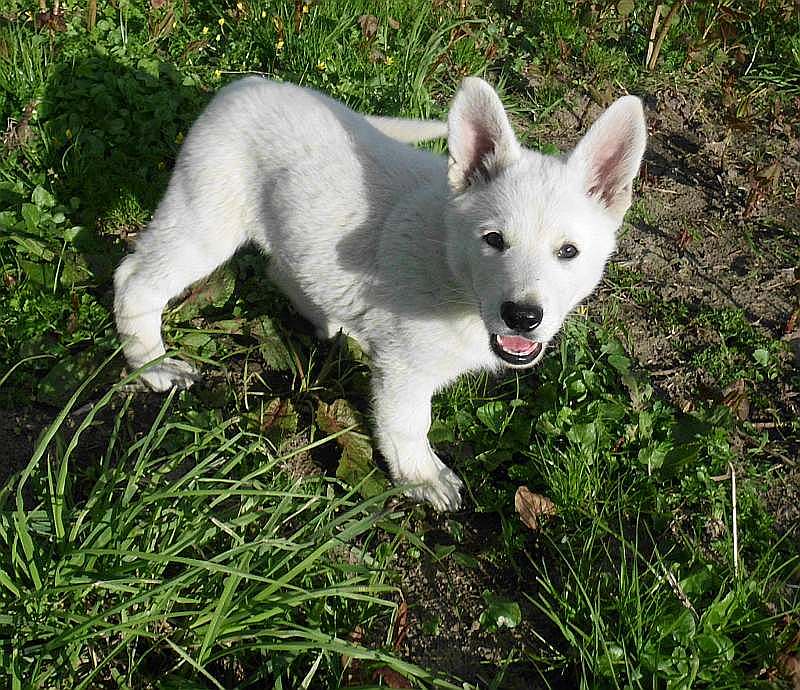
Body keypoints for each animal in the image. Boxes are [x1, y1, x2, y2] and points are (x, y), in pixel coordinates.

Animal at [112, 75, 648, 510]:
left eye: (568, 252)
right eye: (494, 240)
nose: (522, 317)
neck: (452, 268)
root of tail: (245, 85)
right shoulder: (405, 370)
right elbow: (408, 425)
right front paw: (422, 478)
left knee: (282, 271)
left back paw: (334, 324)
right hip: (204, 222)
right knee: (134, 279)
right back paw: (151, 364)